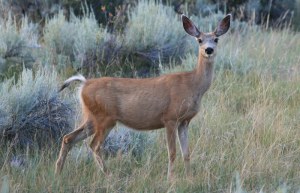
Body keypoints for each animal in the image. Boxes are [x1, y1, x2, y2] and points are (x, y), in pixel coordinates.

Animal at [55, 13, 231, 179]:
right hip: (105, 118)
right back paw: (109, 176)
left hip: (93, 118)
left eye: (216, 39)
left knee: (68, 138)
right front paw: (170, 179)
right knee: (94, 146)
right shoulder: (170, 118)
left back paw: (58, 173)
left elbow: (186, 153)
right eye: (200, 40)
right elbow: (172, 152)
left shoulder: (184, 121)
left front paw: (189, 178)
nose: (209, 50)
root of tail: (84, 84)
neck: (192, 85)